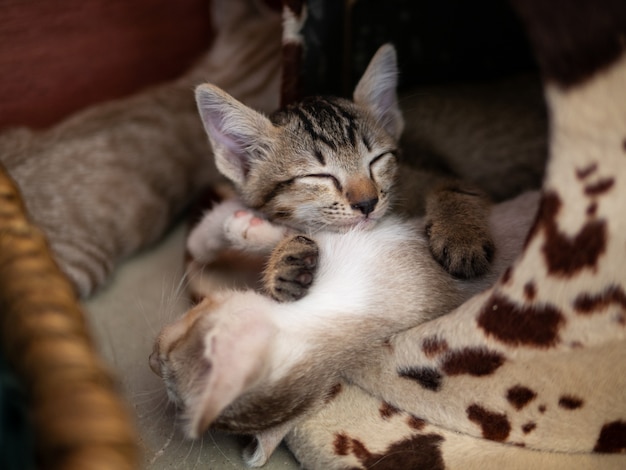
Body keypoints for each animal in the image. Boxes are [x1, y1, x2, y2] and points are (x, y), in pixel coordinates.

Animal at [188, 43, 494, 282]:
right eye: (318, 176)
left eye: (376, 160)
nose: (367, 203)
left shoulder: (433, 176)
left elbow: (452, 187)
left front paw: (460, 234)